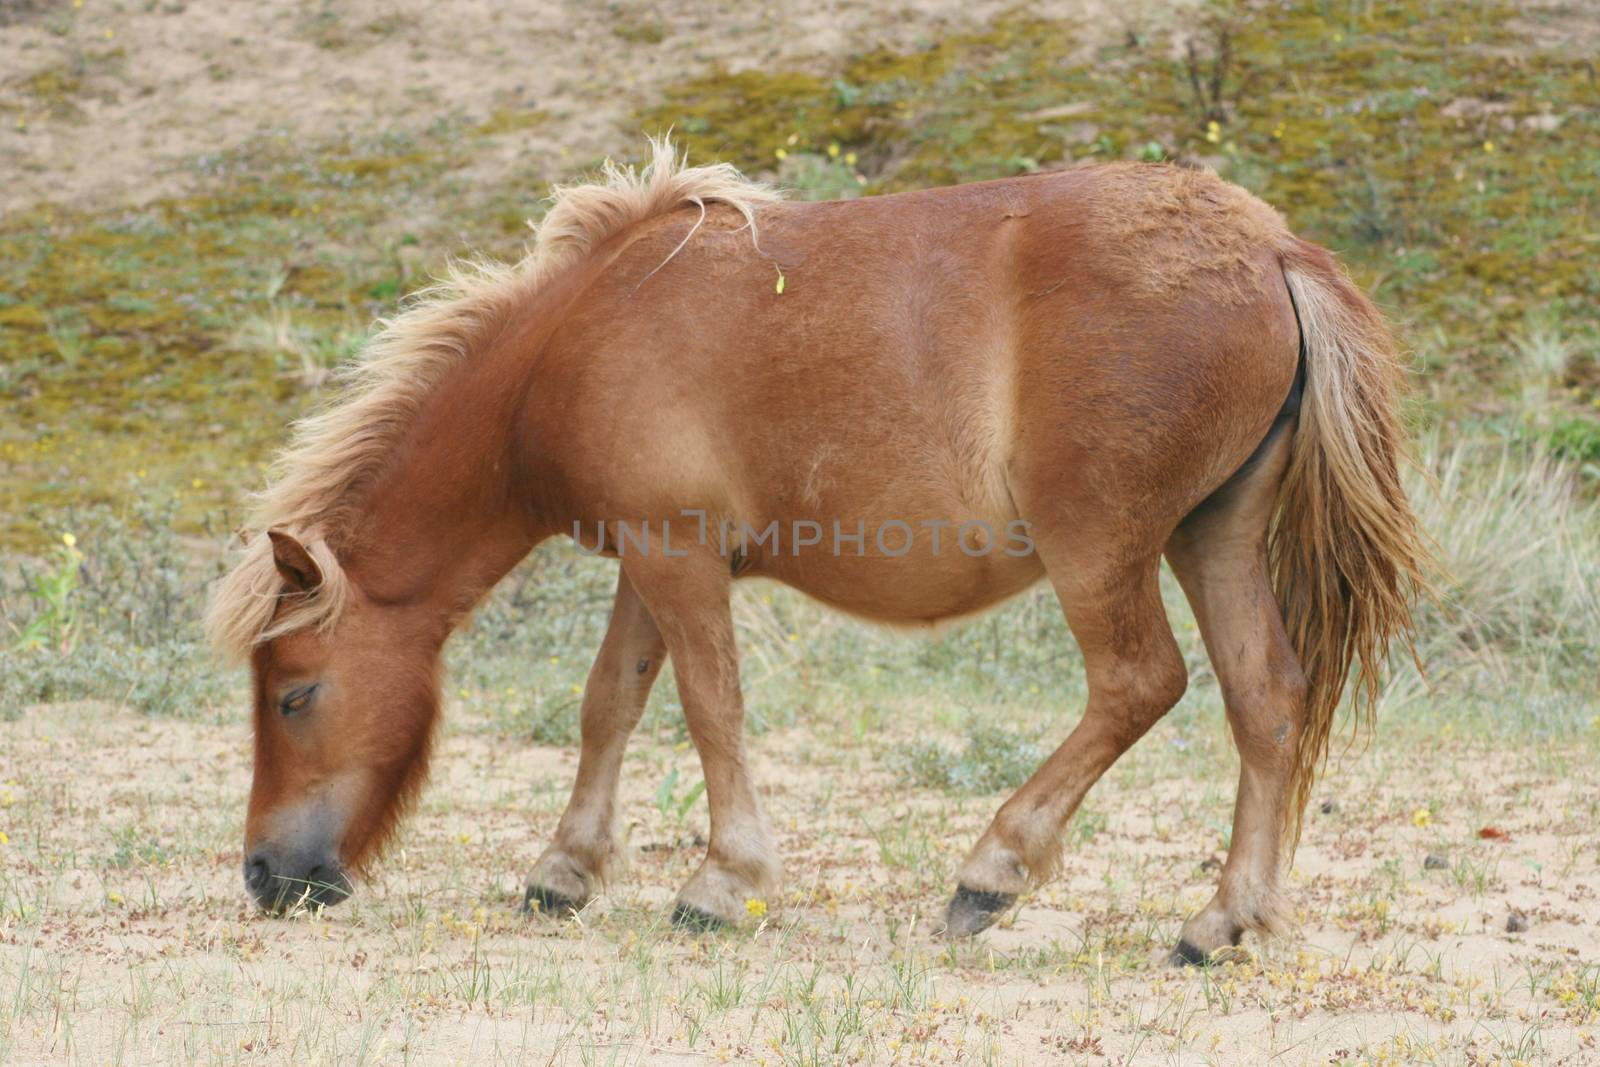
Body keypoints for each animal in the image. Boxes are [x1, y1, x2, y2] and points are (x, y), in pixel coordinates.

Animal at [209, 137, 1427, 966]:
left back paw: (990, 873)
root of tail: (1272, 247)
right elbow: (611, 702)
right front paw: (564, 870)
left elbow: (708, 708)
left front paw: (721, 882)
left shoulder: (675, 556)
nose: (267, 874)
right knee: (1266, 702)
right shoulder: (650, 559)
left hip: (1104, 548)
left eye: (294, 694)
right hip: (1211, 534)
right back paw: (1221, 920)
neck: (578, 337)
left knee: (1138, 683)